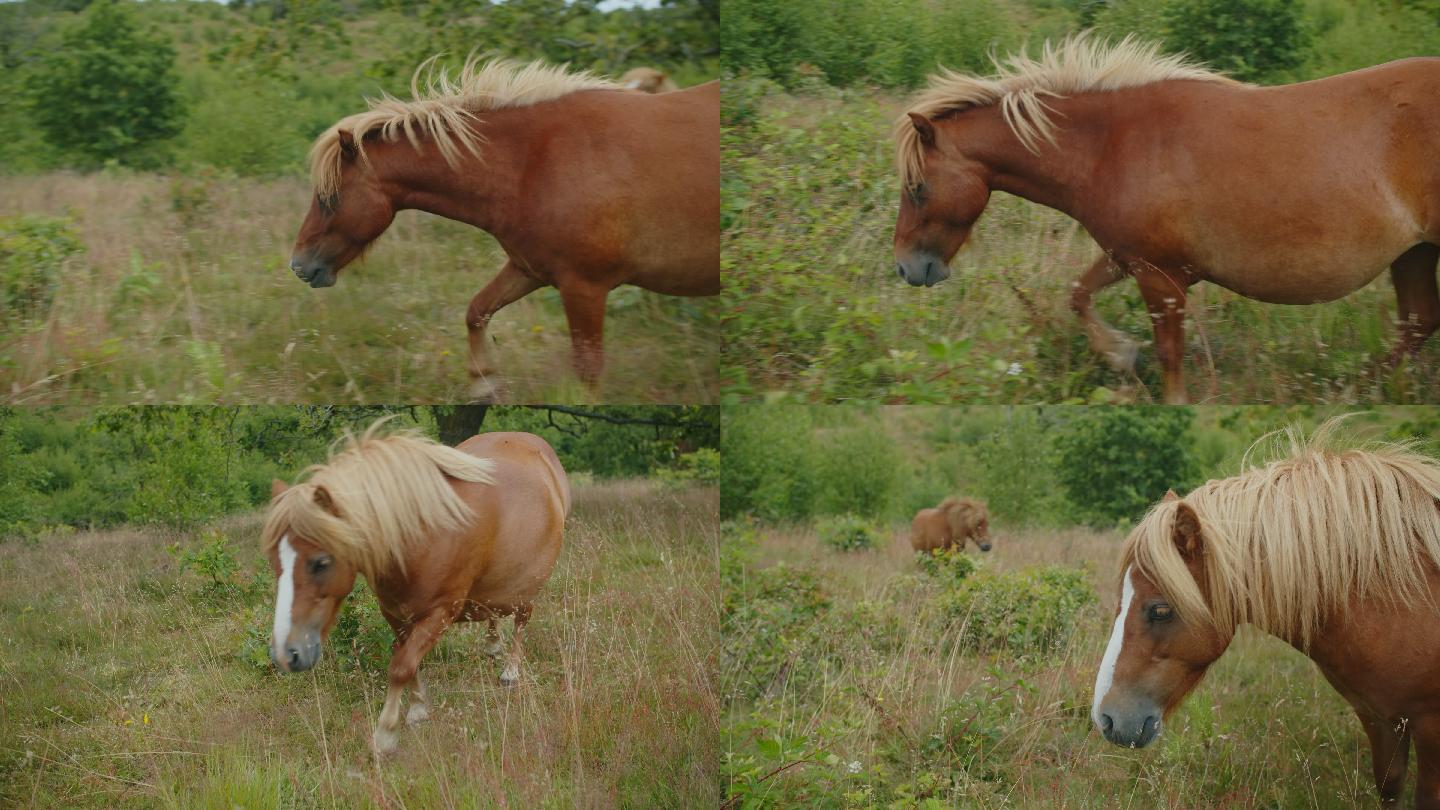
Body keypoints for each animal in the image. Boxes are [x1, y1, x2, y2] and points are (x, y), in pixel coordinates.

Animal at [264, 417, 567, 755]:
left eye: (320, 562)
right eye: (274, 561)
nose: (285, 654)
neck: (422, 533)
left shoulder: (439, 613)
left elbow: (401, 666)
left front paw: (385, 734)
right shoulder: (395, 613)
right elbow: (406, 659)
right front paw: (419, 707)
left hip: (529, 584)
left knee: (522, 620)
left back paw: (511, 671)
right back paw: (492, 644)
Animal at [289, 55, 720, 397]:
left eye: (329, 199)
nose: (299, 265)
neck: (533, 162)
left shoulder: (584, 288)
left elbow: (587, 372)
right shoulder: (529, 270)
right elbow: (477, 311)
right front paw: (485, 383)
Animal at [887, 33, 1440, 400]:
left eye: (917, 188)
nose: (908, 268)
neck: (1111, 145)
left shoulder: (1160, 278)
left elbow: (1170, 355)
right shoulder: (1131, 259)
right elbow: (1079, 294)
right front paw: (1119, 354)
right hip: (1414, 253)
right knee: (1418, 324)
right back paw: (1353, 391)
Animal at [1088, 426, 1440, 801]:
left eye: (1160, 609)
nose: (1105, 718)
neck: (1402, 596)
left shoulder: (1429, 728)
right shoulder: (1379, 718)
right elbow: (1389, 786)